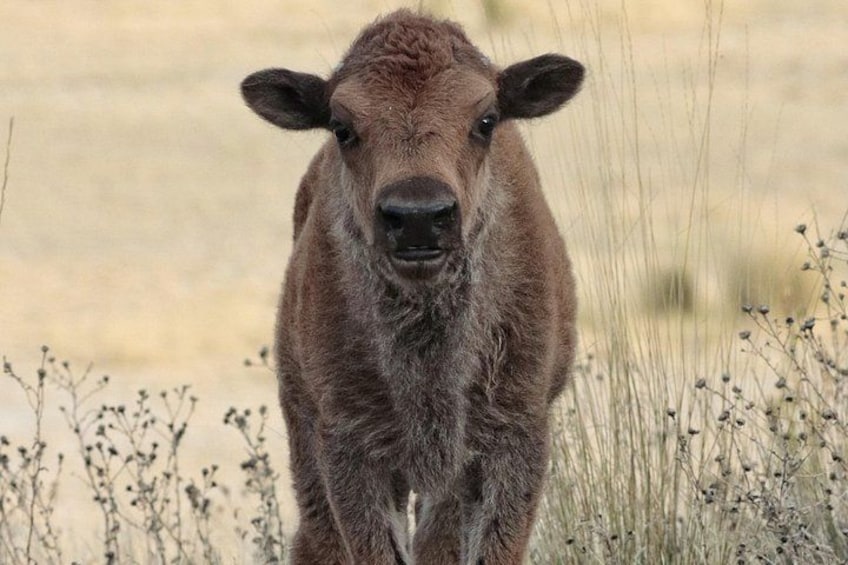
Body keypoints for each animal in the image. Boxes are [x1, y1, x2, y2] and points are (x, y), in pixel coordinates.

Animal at [241, 9, 583, 564]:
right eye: (342, 127)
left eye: (486, 120)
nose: (418, 216)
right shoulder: (349, 445)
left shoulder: (515, 436)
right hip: (304, 422)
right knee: (318, 535)